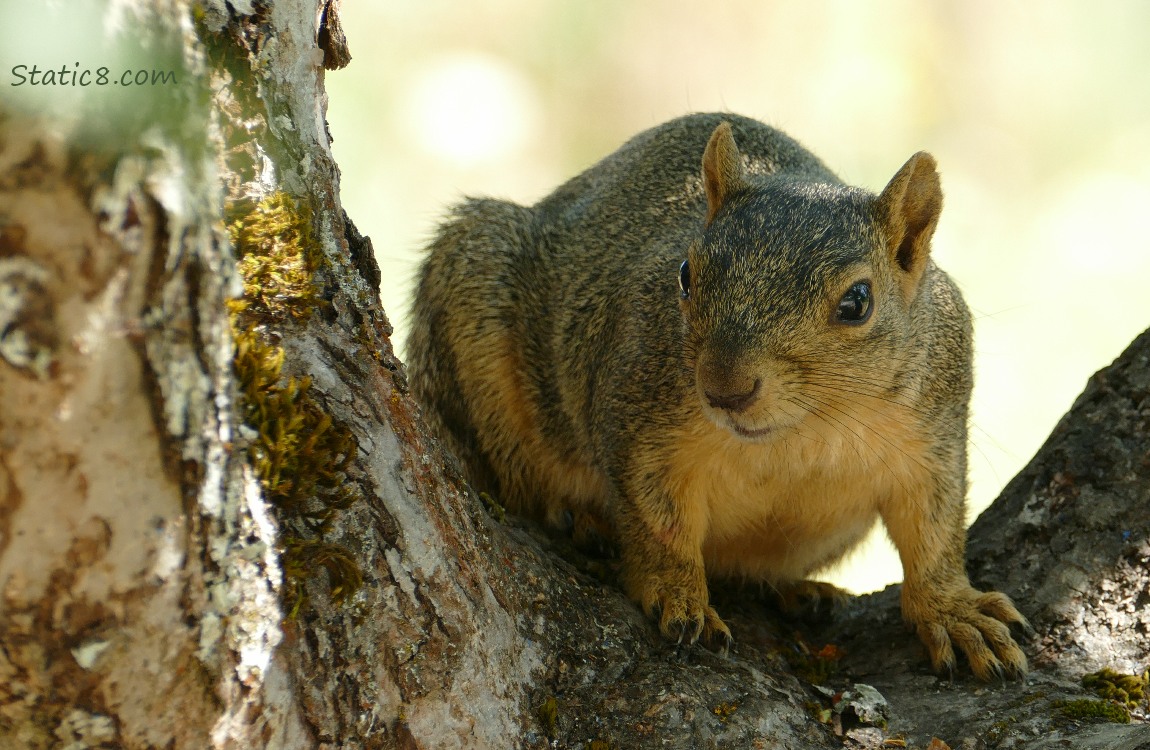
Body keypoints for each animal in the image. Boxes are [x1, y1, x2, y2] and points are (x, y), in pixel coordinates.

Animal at [409, 109, 1030, 680]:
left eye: (857, 302)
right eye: (685, 273)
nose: (725, 389)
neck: (805, 427)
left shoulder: (934, 432)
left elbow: (935, 531)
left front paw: (952, 610)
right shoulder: (641, 419)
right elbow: (656, 520)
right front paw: (677, 594)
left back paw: (799, 591)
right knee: (519, 484)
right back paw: (584, 522)